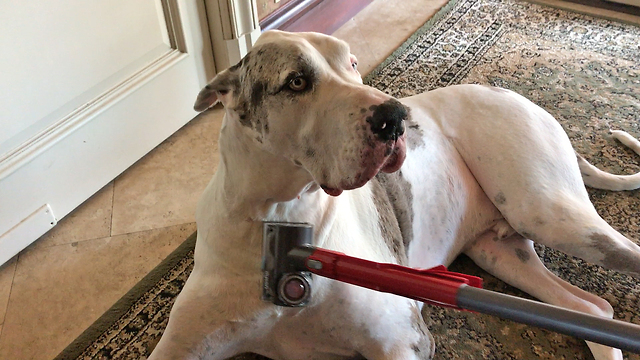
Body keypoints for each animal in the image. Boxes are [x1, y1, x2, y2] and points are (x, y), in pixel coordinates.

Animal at [150, 30, 640, 360]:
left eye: (351, 62)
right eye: (296, 82)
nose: (395, 115)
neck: (281, 217)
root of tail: (509, 91)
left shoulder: (403, 339)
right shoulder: (179, 347)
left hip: (548, 212)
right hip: (503, 252)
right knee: (593, 308)